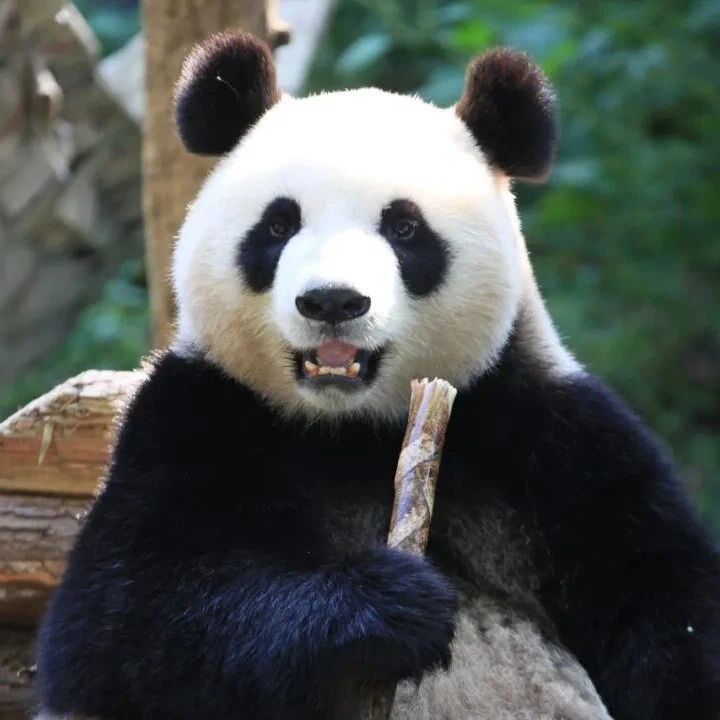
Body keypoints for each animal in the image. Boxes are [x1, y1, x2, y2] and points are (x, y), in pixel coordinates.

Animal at [34, 32, 720, 720]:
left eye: (404, 227)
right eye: (279, 224)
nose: (333, 301)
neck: (351, 428)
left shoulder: (547, 439)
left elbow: (662, 600)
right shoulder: (196, 416)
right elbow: (125, 624)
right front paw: (387, 603)